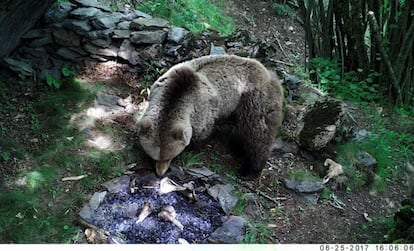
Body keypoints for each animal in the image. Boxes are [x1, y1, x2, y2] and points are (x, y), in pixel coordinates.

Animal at [136, 54, 284, 178]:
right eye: (154, 157)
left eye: (169, 157)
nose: (160, 173)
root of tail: (269, 74)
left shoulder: (202, 109)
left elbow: (202, 132)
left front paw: (193, 147)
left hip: (254, 100)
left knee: (257, 134)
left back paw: (249, 170)